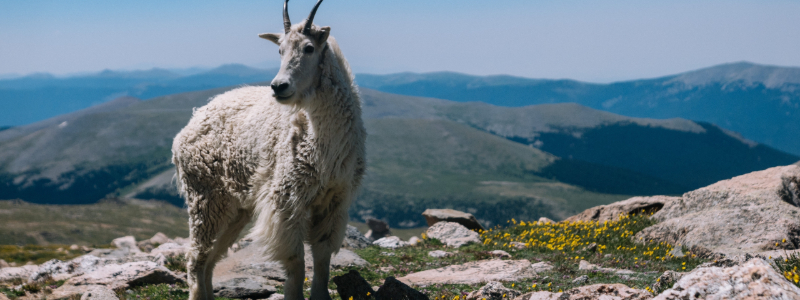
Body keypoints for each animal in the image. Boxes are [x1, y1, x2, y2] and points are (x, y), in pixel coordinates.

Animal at [173, 1, 368, 298]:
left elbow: (322, 256)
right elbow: (296, 260)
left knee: (211, 257)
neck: (324, 143)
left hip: (236, 208)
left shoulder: (335, 199)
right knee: (196, 256)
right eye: (279, 50)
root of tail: (190, 123)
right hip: (205, 197)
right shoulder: (287, 197)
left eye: (309, 48)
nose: (279, 87)